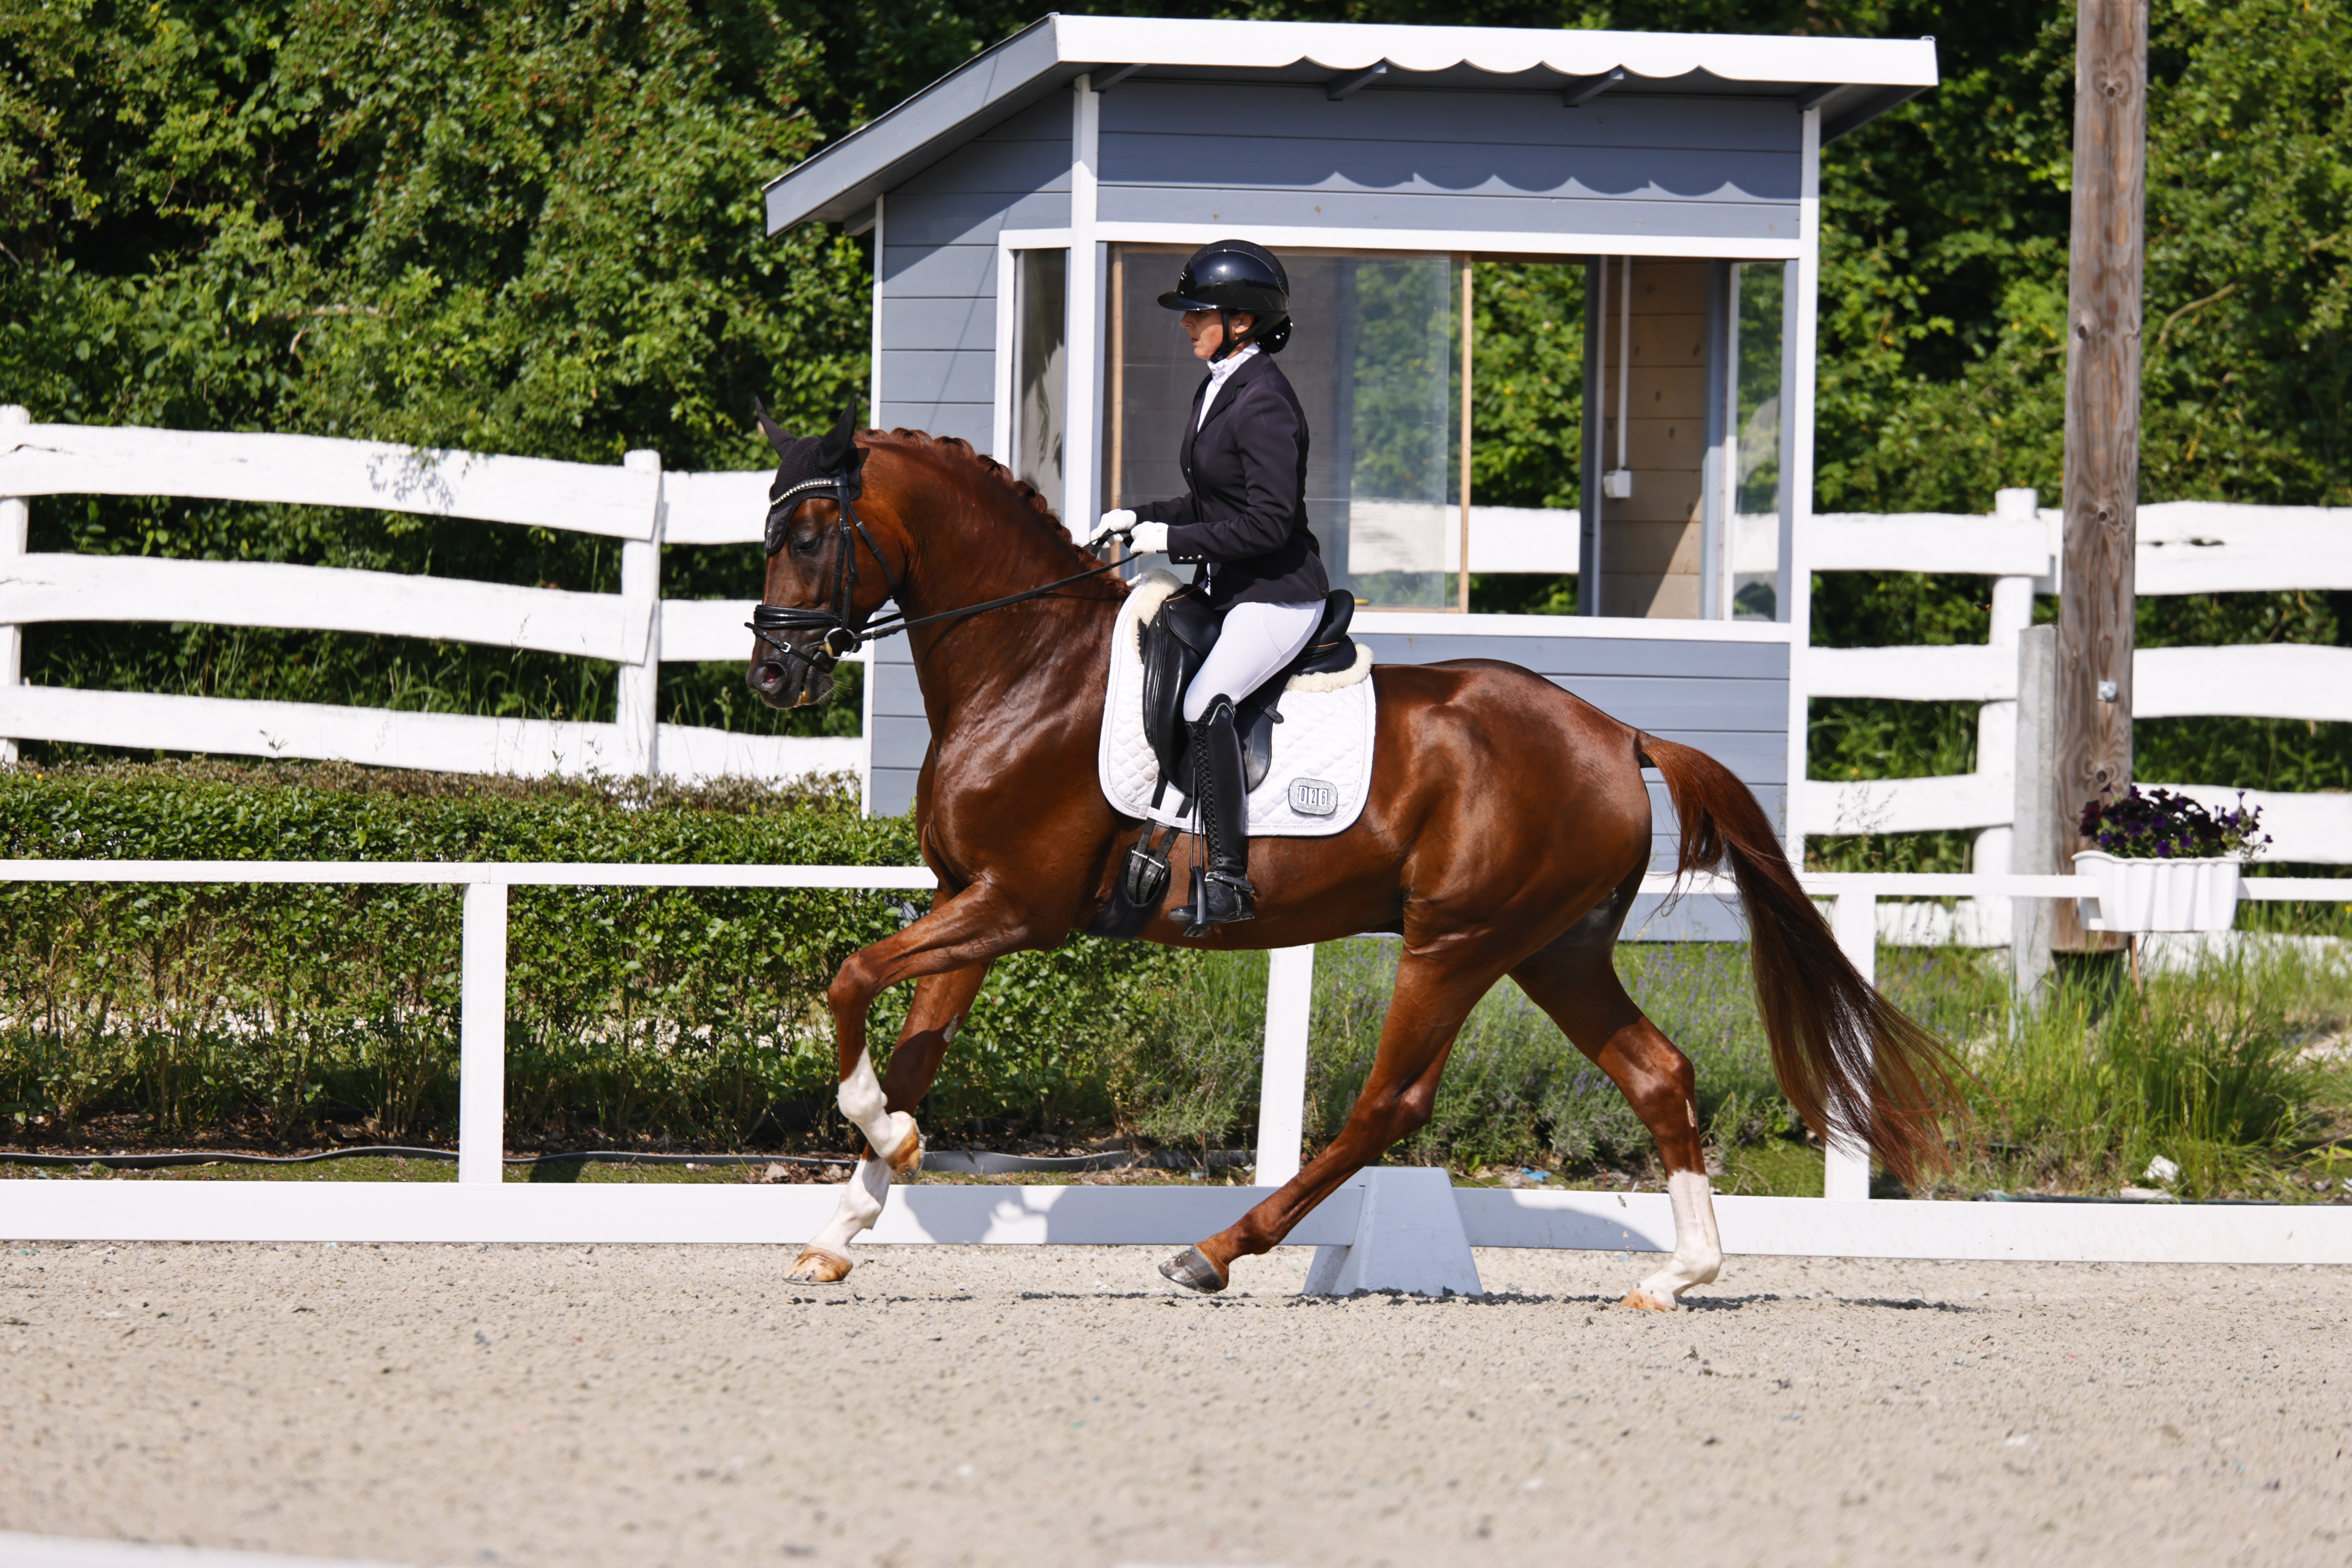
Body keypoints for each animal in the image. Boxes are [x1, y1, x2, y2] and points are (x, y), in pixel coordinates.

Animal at [744, 406, 1957, 1308]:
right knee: (1658, 1072)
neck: (1025, 664)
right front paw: (853, 1211)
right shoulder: (969, 900)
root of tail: (1617, 734)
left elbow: (849, 977)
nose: (772, 678)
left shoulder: (1016, 906)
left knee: (1390, 1102)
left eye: (808, 537)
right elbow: (913, 1045)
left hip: (1457, 942)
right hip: (1553, 949)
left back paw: (1213, 1253)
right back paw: (1679, 1275)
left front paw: (884, 1145)